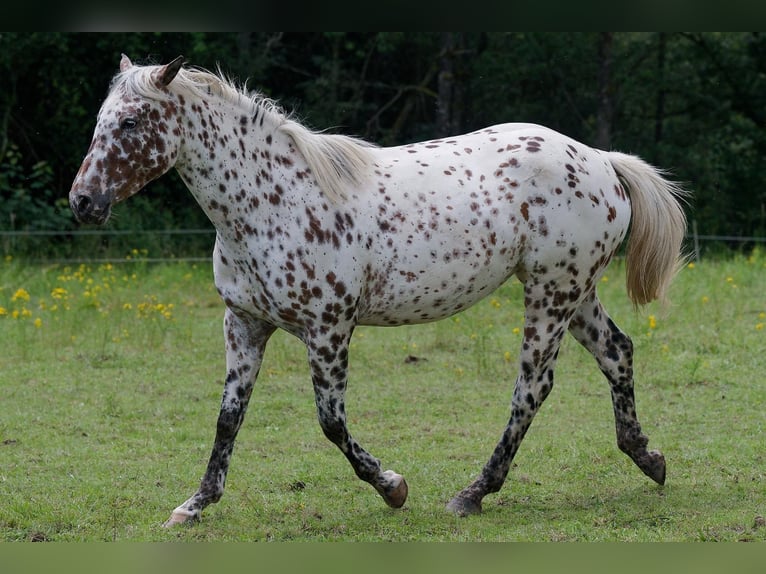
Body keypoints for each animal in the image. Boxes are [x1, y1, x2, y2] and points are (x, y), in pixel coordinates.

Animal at [67, 56, 688, 528]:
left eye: (130, 123)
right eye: (101, 120)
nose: (83, 201)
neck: (270, 202)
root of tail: (600, 160)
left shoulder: (327, 329)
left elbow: (330, 421)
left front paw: (392, 486)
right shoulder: (244, 325)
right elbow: (227, 419)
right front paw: (194, 505)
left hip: (551, 293)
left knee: (532, 388)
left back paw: (474, 492)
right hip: (574, 294)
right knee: (617, 353)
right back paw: (648, 458)